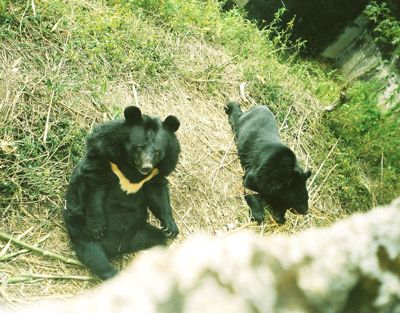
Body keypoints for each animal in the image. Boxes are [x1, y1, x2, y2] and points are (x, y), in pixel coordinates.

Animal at [64, 106, 181, 280]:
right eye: (139, 147)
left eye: (157, 152)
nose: (146, 167)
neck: (132, 167)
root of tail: (120, 248)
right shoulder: (104, 155)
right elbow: (95, 184)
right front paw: (98, 226)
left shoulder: (157, 172)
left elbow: (157, 193)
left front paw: (170, 227)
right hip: (78, 224)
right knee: (92, 252)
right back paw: (111, 272)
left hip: (142, 232)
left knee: (160, 241)